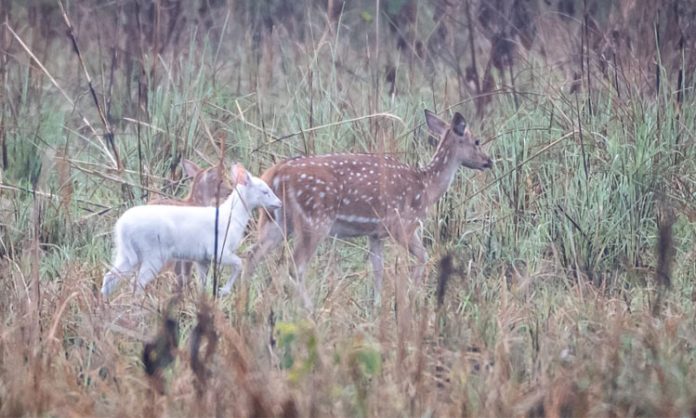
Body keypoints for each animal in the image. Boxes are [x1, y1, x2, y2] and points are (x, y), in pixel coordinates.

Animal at [242, 109, 492, 302]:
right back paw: (307, 309)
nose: (488, 161)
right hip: (315, 220)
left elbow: (378, 270)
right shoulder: (402, 224)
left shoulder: (375, 234)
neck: (426, 186)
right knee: (295, 266)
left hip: (274, 221)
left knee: (251, 257)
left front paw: (377, 306)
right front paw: (410, 295)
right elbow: (422, 256)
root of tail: (275, 173)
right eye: (477, 141)